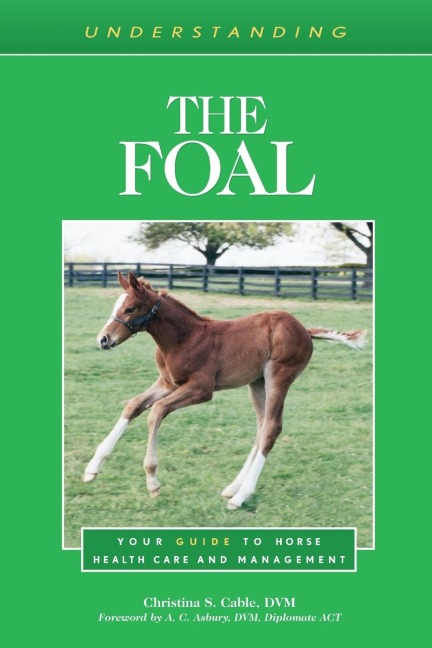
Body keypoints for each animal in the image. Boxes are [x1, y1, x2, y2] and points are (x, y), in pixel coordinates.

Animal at [84, 271, 365, 509]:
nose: (103, 339)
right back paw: (233, 488)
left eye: (129, 308)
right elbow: (134, 405)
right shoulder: (167, 382)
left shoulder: (201, 389)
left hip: (279, 376)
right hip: (257, 382)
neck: (183, 338)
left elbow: (157, 411)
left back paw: (240, 497)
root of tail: (304, 330)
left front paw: (153, 481)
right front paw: (91, 468)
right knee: (262, 426)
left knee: (271, 429)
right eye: (116, 307)